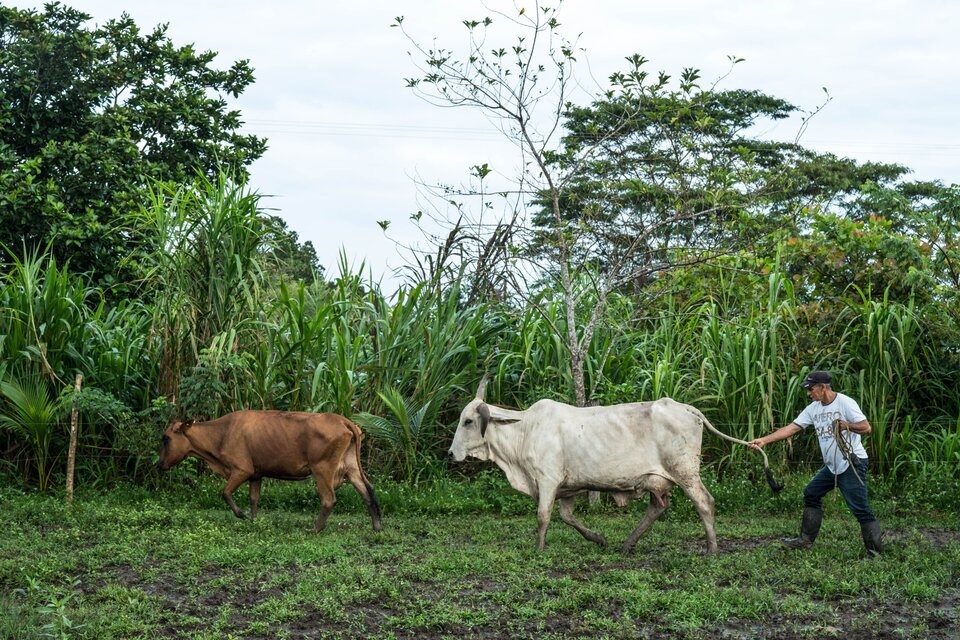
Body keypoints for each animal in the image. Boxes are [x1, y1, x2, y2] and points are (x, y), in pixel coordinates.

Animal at [158, 410, 382, 528]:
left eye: (166, 438)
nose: (158, 465)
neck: (221, 434)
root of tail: (343, 420)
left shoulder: (242, 470)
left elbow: (225, 492)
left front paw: (241, 514)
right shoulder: (256, 474)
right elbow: (254, 498)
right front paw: (252, 520)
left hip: (322, 468)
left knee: (329, 499)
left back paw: (315, 529)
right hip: (351, 467)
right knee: (367, 490)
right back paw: (377, 526)